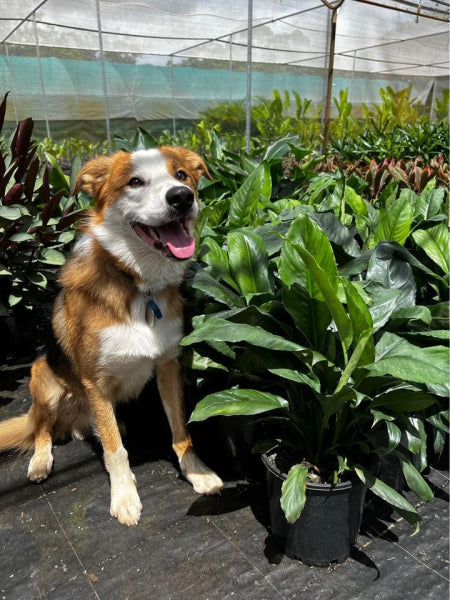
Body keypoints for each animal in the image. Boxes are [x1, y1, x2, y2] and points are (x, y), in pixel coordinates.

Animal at [0, 146, 223, 524]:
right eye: (135, 182)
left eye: (181, 175)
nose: (182, 197)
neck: (136, 282)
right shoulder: (95, 382)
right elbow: (114, 449)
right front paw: (124, 496)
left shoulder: (168, 366)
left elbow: (181, 430)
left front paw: (197, 472)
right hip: (43, 380)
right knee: (42, 430)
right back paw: (41, 461)